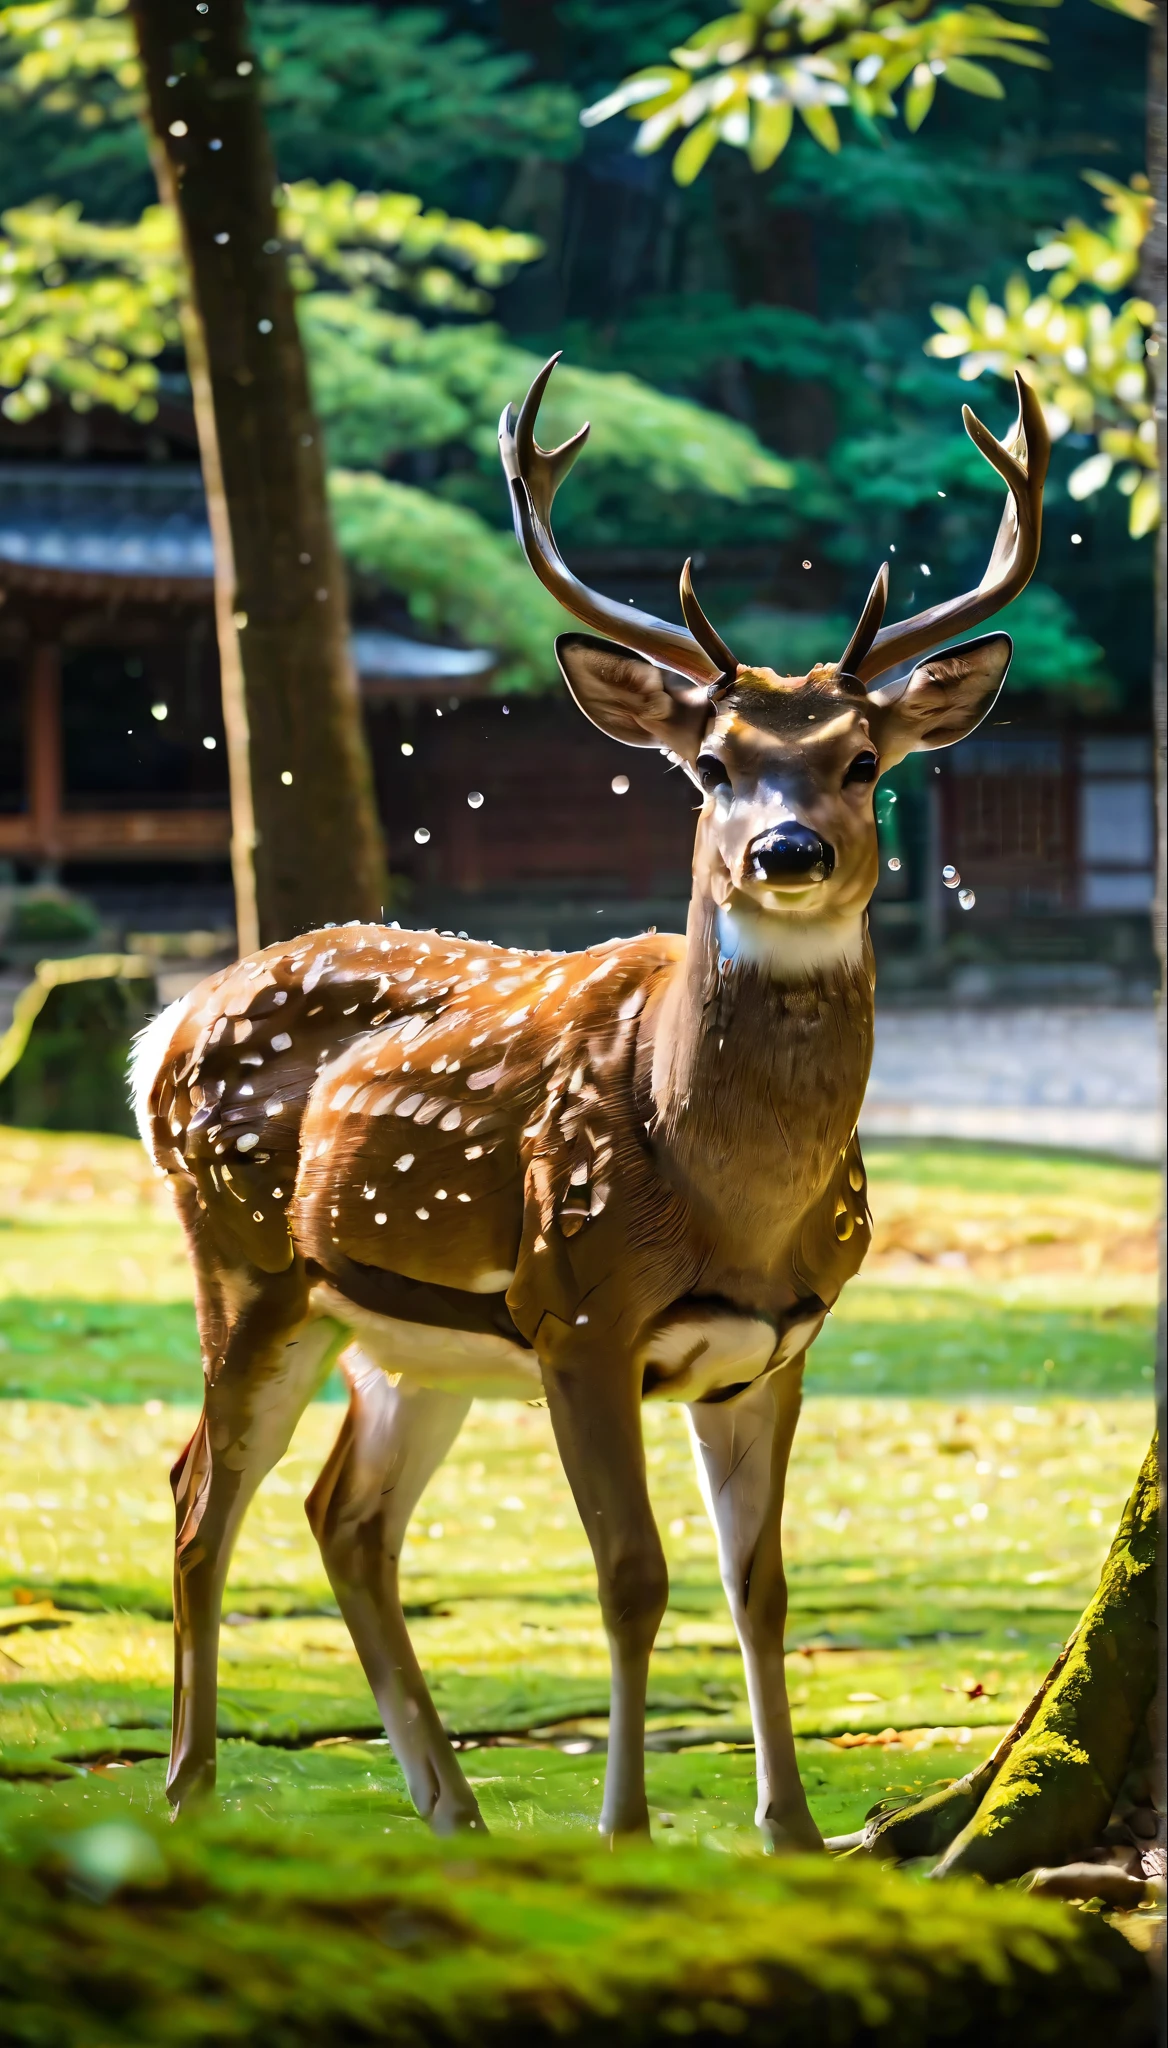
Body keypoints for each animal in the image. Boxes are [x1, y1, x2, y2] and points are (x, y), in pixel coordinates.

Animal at [136, 360, 1045, 1851]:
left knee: (345, 1514)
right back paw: (191, 1785)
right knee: (201, 1494)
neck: (732, 1204)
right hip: (249, 1263)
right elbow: (632, 1571)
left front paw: (793, 1832)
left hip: (409, 1339)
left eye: (862, 760)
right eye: (713, 763)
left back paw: (451, 1803)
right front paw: (625, 1829)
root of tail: (165, 1021)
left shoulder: (781, 1340)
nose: (784, 850)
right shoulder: (577, 1311)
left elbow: (759, 1584)